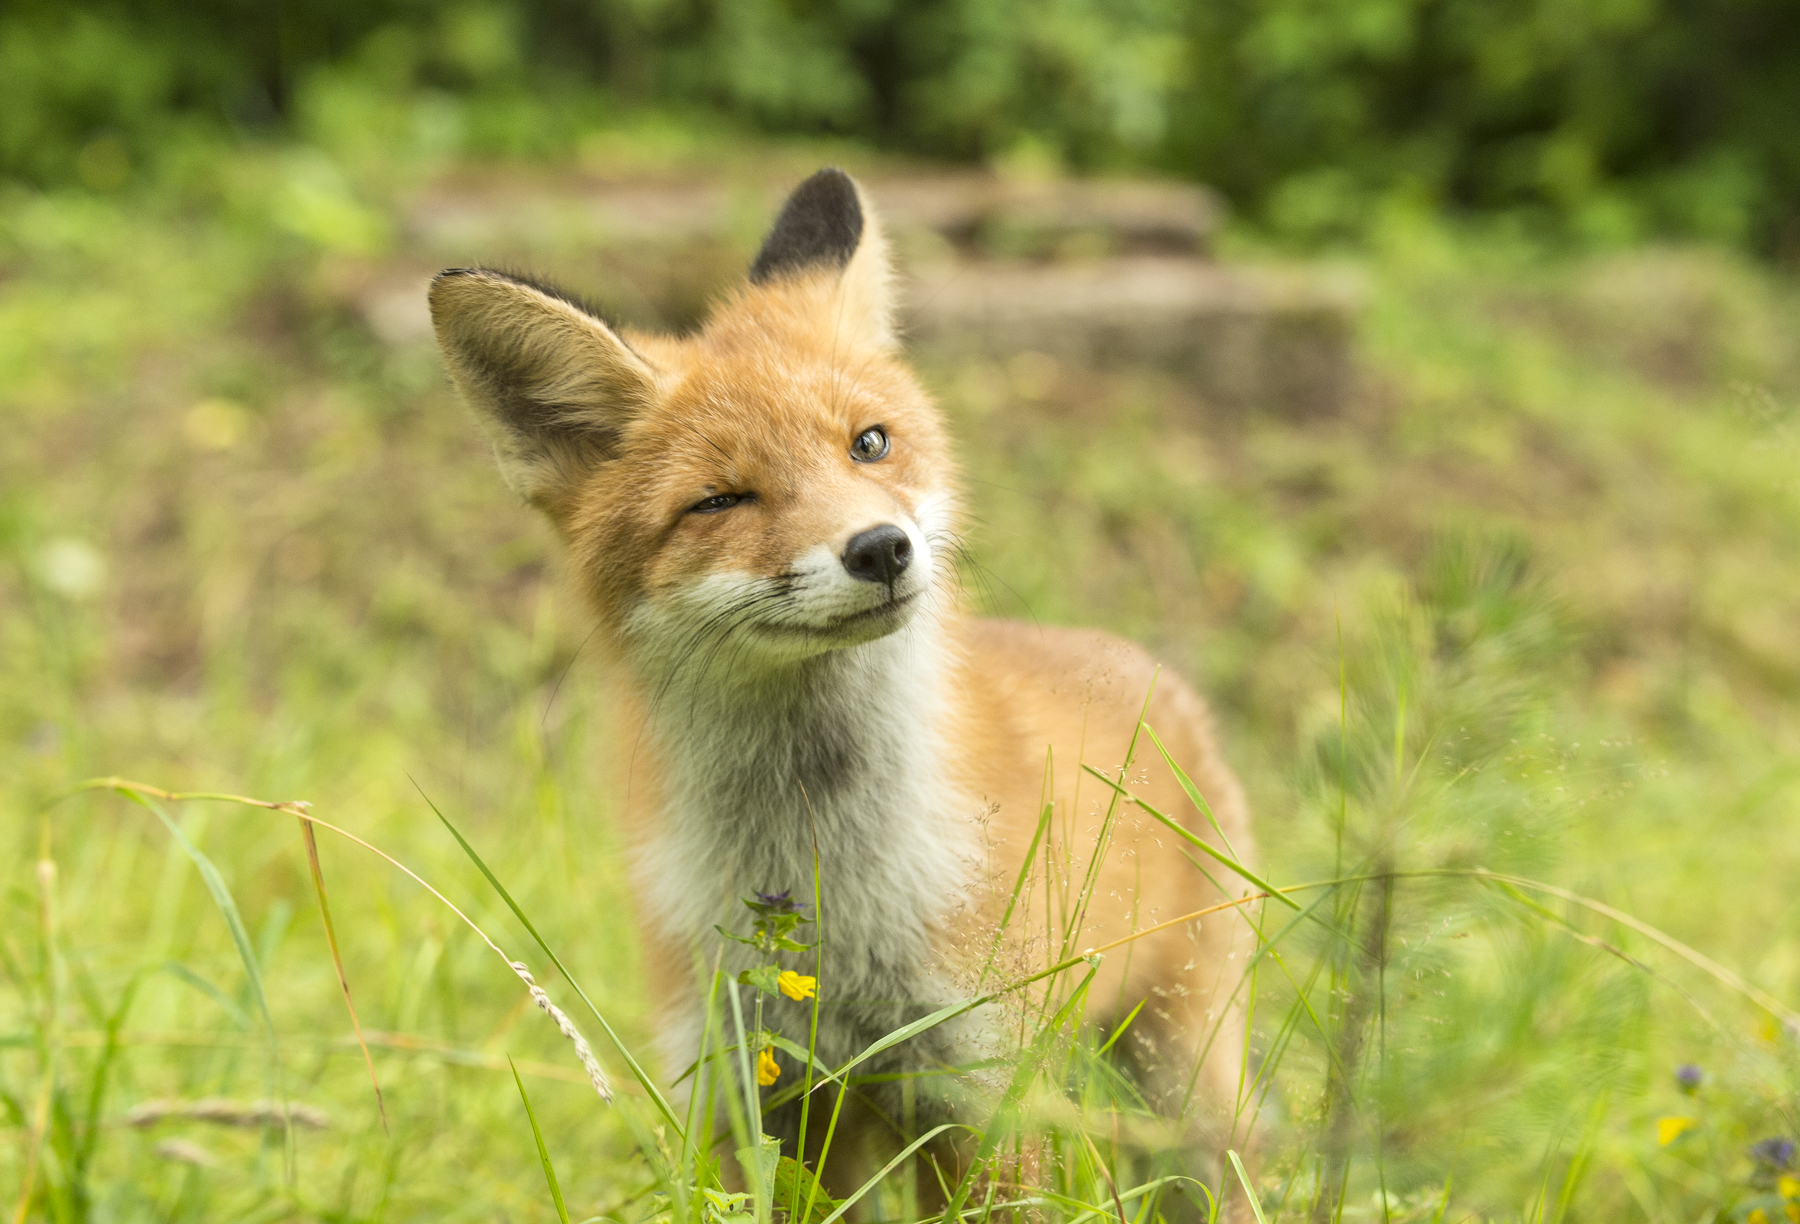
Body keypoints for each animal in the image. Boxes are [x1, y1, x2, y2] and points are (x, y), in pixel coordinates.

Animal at [428, 167, 1260, 1202]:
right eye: (720, 501)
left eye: (869, 444)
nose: (881, 548)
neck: (826, 879)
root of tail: (1139, 664)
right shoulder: (746, 1093)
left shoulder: (981, 1086)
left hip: (1182, 1084)